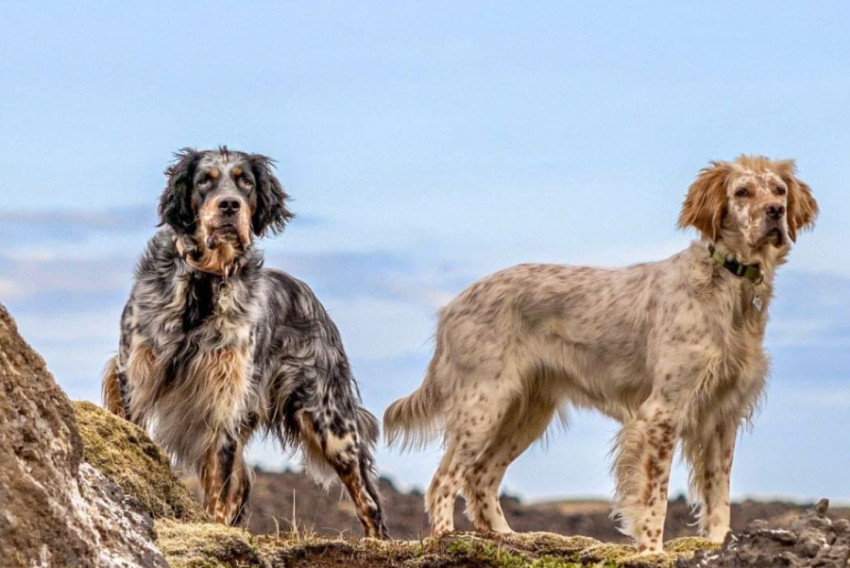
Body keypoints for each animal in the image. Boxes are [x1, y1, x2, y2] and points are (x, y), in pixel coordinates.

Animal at [100, 148, 388, 536]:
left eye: (245, 181)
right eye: (204, 180)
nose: (229, 205)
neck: (203, 285)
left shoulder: (225, 397)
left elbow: (220, 488)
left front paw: (216, 526)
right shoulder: (135, 375)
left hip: (330, 420)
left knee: (367, 499)